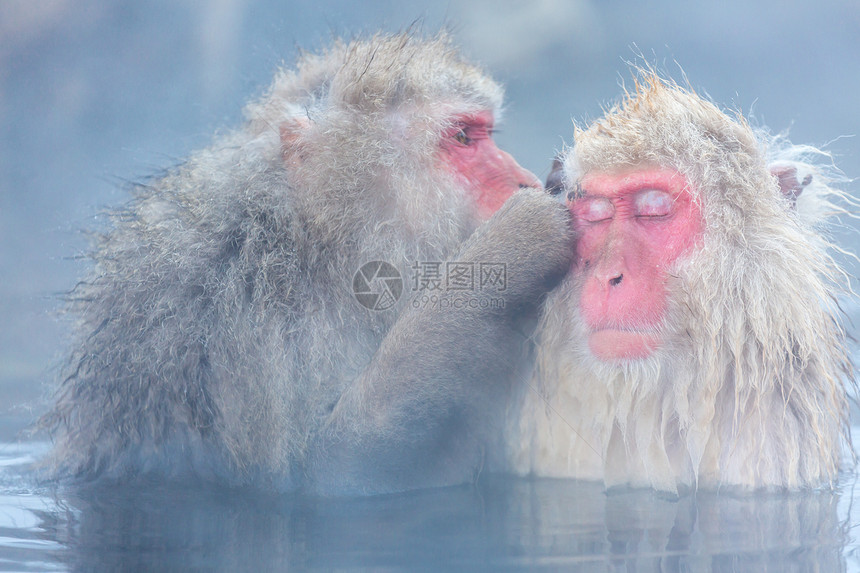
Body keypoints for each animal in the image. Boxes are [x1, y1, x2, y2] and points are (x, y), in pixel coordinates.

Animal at [42, 33, 576, 494]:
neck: (316, 247)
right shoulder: (242, 318)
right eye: (464, 137)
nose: (526, 180)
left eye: (484, 133)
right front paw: (516, 241)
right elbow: (328, 472)